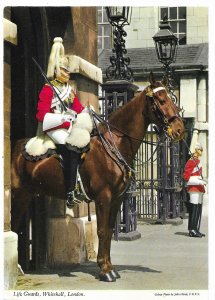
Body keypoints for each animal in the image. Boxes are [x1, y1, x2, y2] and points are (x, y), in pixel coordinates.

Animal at [10, 74, 185, 282]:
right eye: (161, 100)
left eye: (173, 100)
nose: (179, 130)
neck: (114, 143)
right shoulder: (104, 197)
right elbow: (101, 231)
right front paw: (105, 270)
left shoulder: (117, 199)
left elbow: (109, 231)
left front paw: (110, 267)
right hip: (17, 194)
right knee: (13, 223)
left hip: (28, 194)